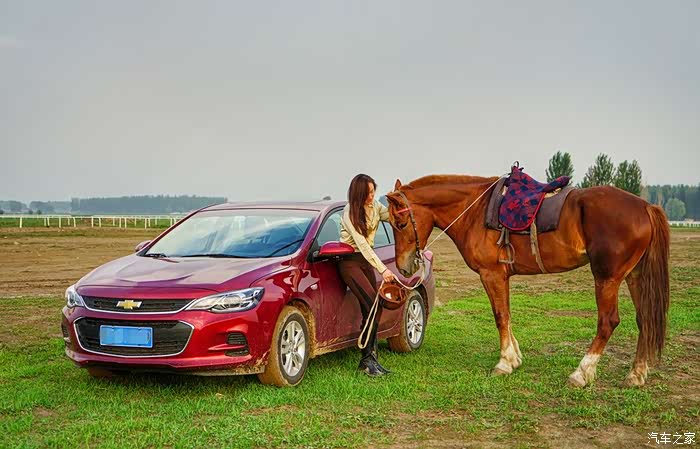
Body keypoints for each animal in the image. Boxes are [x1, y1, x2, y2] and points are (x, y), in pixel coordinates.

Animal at [385, 175, 670, 387]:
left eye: (400, 223)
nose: (404, 266)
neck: (475, 210)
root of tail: (646, 207)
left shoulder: (492, 274)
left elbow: (500, 316)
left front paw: (504, 363)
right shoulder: (502, 276)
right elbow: (507, 315)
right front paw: (515, 358)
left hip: (607, 278)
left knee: (608, 322)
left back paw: (581, 373)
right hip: (634, 276)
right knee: (644, 319)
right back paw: (635, 374)